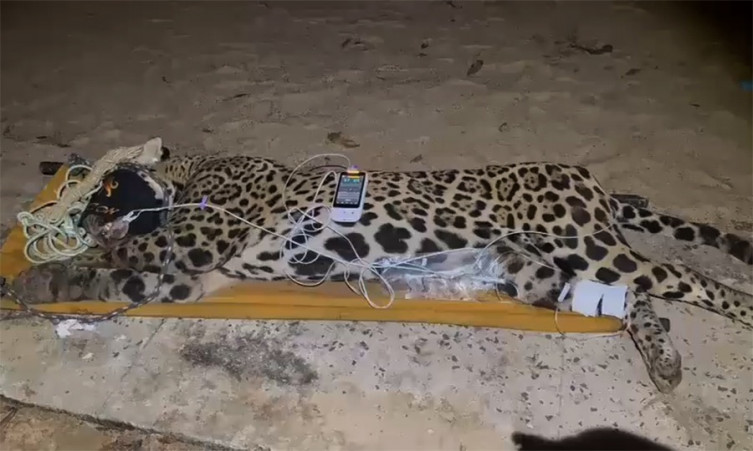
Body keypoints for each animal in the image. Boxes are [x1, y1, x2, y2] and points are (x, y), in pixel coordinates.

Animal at [11, 152, 753, 393]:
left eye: (108, 188)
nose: (86, 215)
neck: (190, 175)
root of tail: (588, 176)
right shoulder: (183, 279)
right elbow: (102, 277)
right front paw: (36, 280)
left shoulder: (188, 248)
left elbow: (107, 261)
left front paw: (31, 277)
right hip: (553, 264)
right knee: (636, 299)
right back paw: (662, 360)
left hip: (589, 244)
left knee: (691, 278)